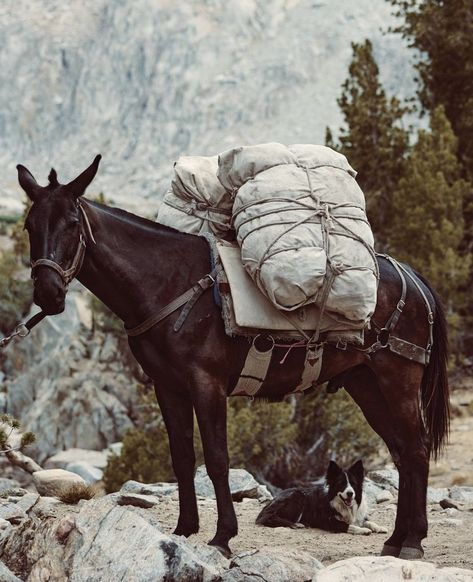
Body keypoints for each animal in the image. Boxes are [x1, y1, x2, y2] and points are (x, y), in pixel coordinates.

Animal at [256, 460, 386, 540]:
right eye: (341, 484)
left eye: (353, 484)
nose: (350, 493)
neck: (343, 506)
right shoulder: (328, 521)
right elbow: (347, 525)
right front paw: (363, 530)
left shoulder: (359, 516)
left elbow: (368, 521)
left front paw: (379, 527)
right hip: (298, 496)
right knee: (271, 517)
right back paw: (296, 524)